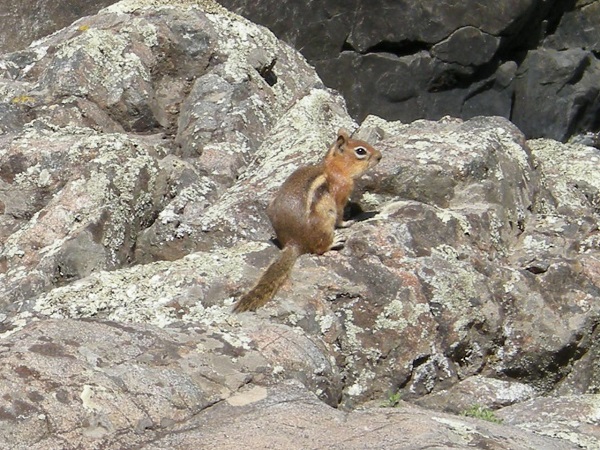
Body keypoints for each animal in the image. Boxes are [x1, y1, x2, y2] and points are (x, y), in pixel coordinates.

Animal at [232, 128, 382, 312]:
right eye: (360, 151)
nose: (380, 156)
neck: (335, 168)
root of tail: (295, 242)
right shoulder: (339, 196)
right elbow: (340, 217)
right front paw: (348, 222)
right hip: (326, 218)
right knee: (318, 248)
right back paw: (334, 241)